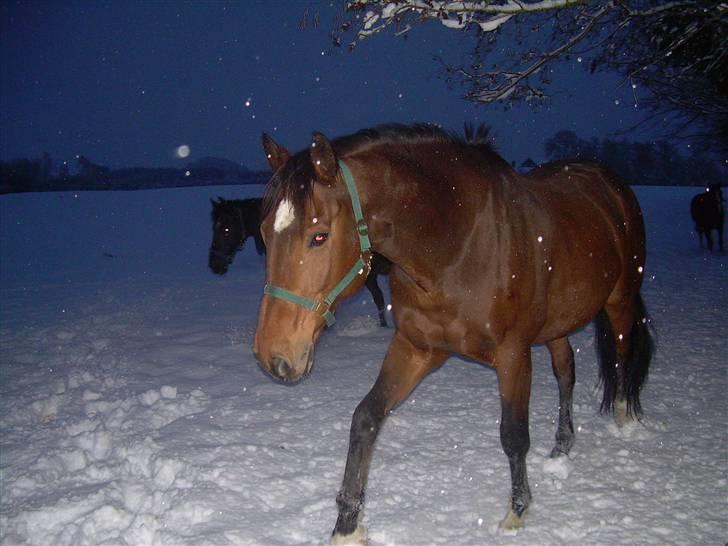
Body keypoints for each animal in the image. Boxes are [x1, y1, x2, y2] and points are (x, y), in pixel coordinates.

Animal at [252, 121, 656, 540]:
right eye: (264, 233)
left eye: (319, 236)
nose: (272, 354)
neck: (456, 248)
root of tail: (609, 181)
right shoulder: (416, 347)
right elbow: (365, 418)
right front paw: (347, 527)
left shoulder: (513, 355)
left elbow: (513, 435)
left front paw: (517, 511)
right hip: (556, 324)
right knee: (566, 372)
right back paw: (562, 447)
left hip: (620, 301)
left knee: (621, 355)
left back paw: (623, 419)